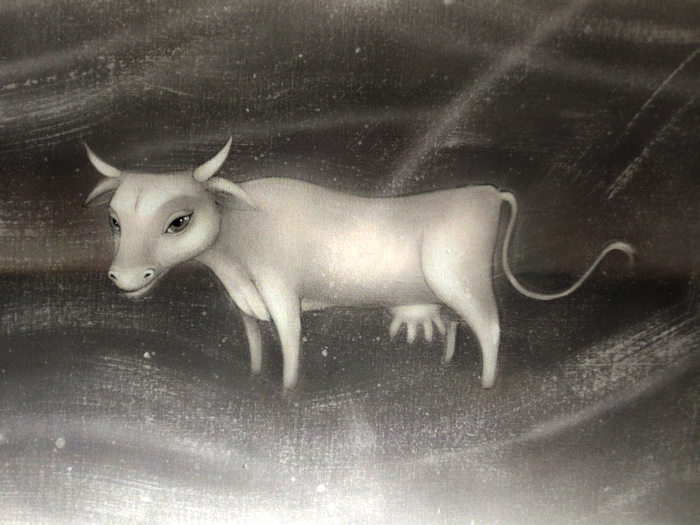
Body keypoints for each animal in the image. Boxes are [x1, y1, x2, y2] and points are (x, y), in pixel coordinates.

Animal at [83, 137, 634, 390]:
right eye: (113, 220)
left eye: (179, 220)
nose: (124, 277)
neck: (237, 243)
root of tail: (485, 190)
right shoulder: (245, 299)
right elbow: (254, 339)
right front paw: (256, 377)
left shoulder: (280, 291)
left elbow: (290, 341)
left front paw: (287, 393)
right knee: (459, 326)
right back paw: (447, 365)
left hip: (460, 279)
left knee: (491, 326)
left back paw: (485, 386)